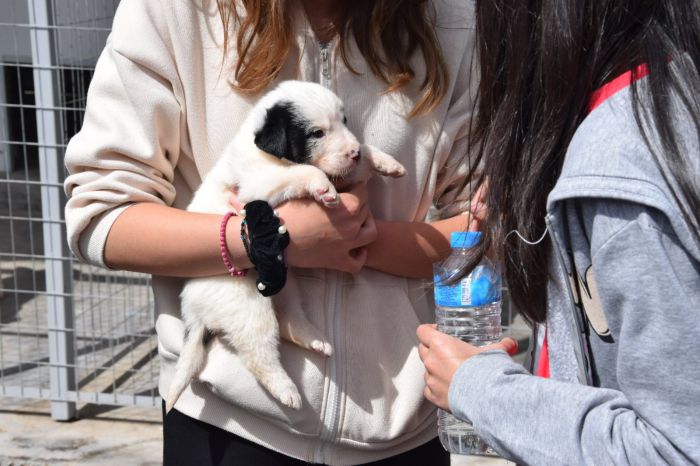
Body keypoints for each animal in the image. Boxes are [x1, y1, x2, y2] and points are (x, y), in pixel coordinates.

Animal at [165, 80, 404, 412]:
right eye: (317, 133)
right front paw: (323, 187)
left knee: (290, 319)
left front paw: (384, 161)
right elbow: (304, 172)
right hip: (247, 306)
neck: (267, 152)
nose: (353, 152)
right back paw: (286, 390)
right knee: (258, 352)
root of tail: (192, 310)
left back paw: (314, 339)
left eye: (344, 121)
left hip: (286, 285)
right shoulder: (258, 184)